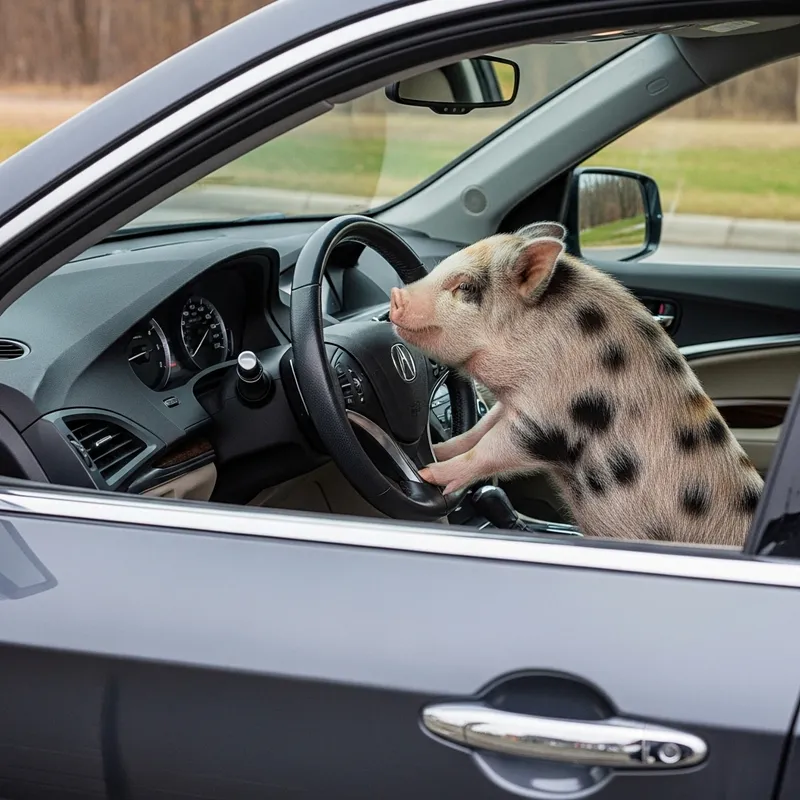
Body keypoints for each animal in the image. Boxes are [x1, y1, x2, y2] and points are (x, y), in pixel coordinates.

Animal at [388, 222, 763, 547]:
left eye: (465, 287)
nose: (395, 295)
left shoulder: (549, 422)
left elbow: (490, 448)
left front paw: (429, 474)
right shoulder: (516, 402)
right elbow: (477, 431)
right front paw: (437, 451)